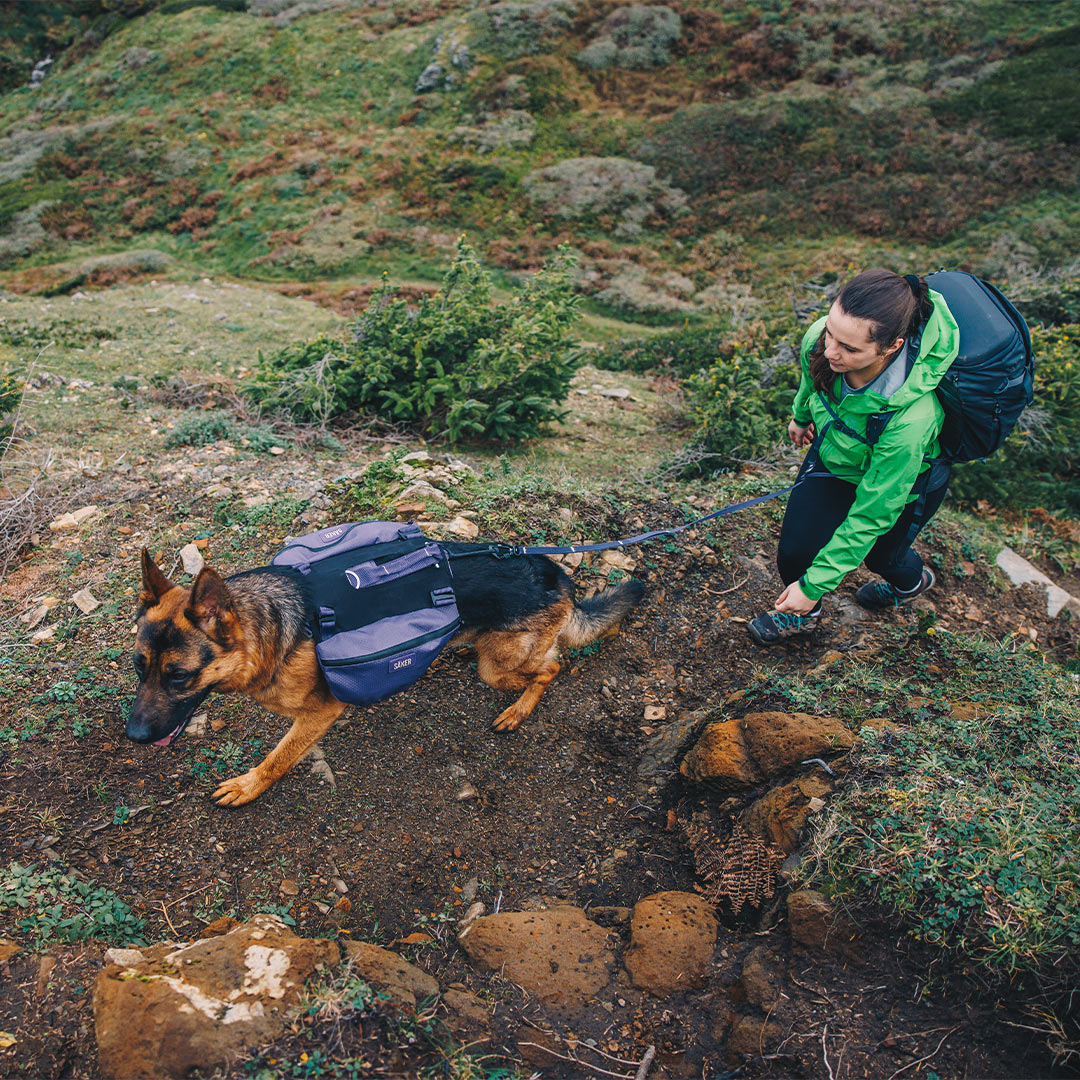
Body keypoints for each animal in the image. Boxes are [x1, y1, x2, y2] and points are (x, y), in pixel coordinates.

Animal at [130, 544, 643, 807]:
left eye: (179, 676)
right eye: (139, 666)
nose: (133, 736)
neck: (269, 628)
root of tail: (559, 575)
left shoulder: (320, 712)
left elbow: (279, 758)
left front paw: (249, 785)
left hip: (498, 668)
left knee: (553, 666)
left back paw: (517, 712)